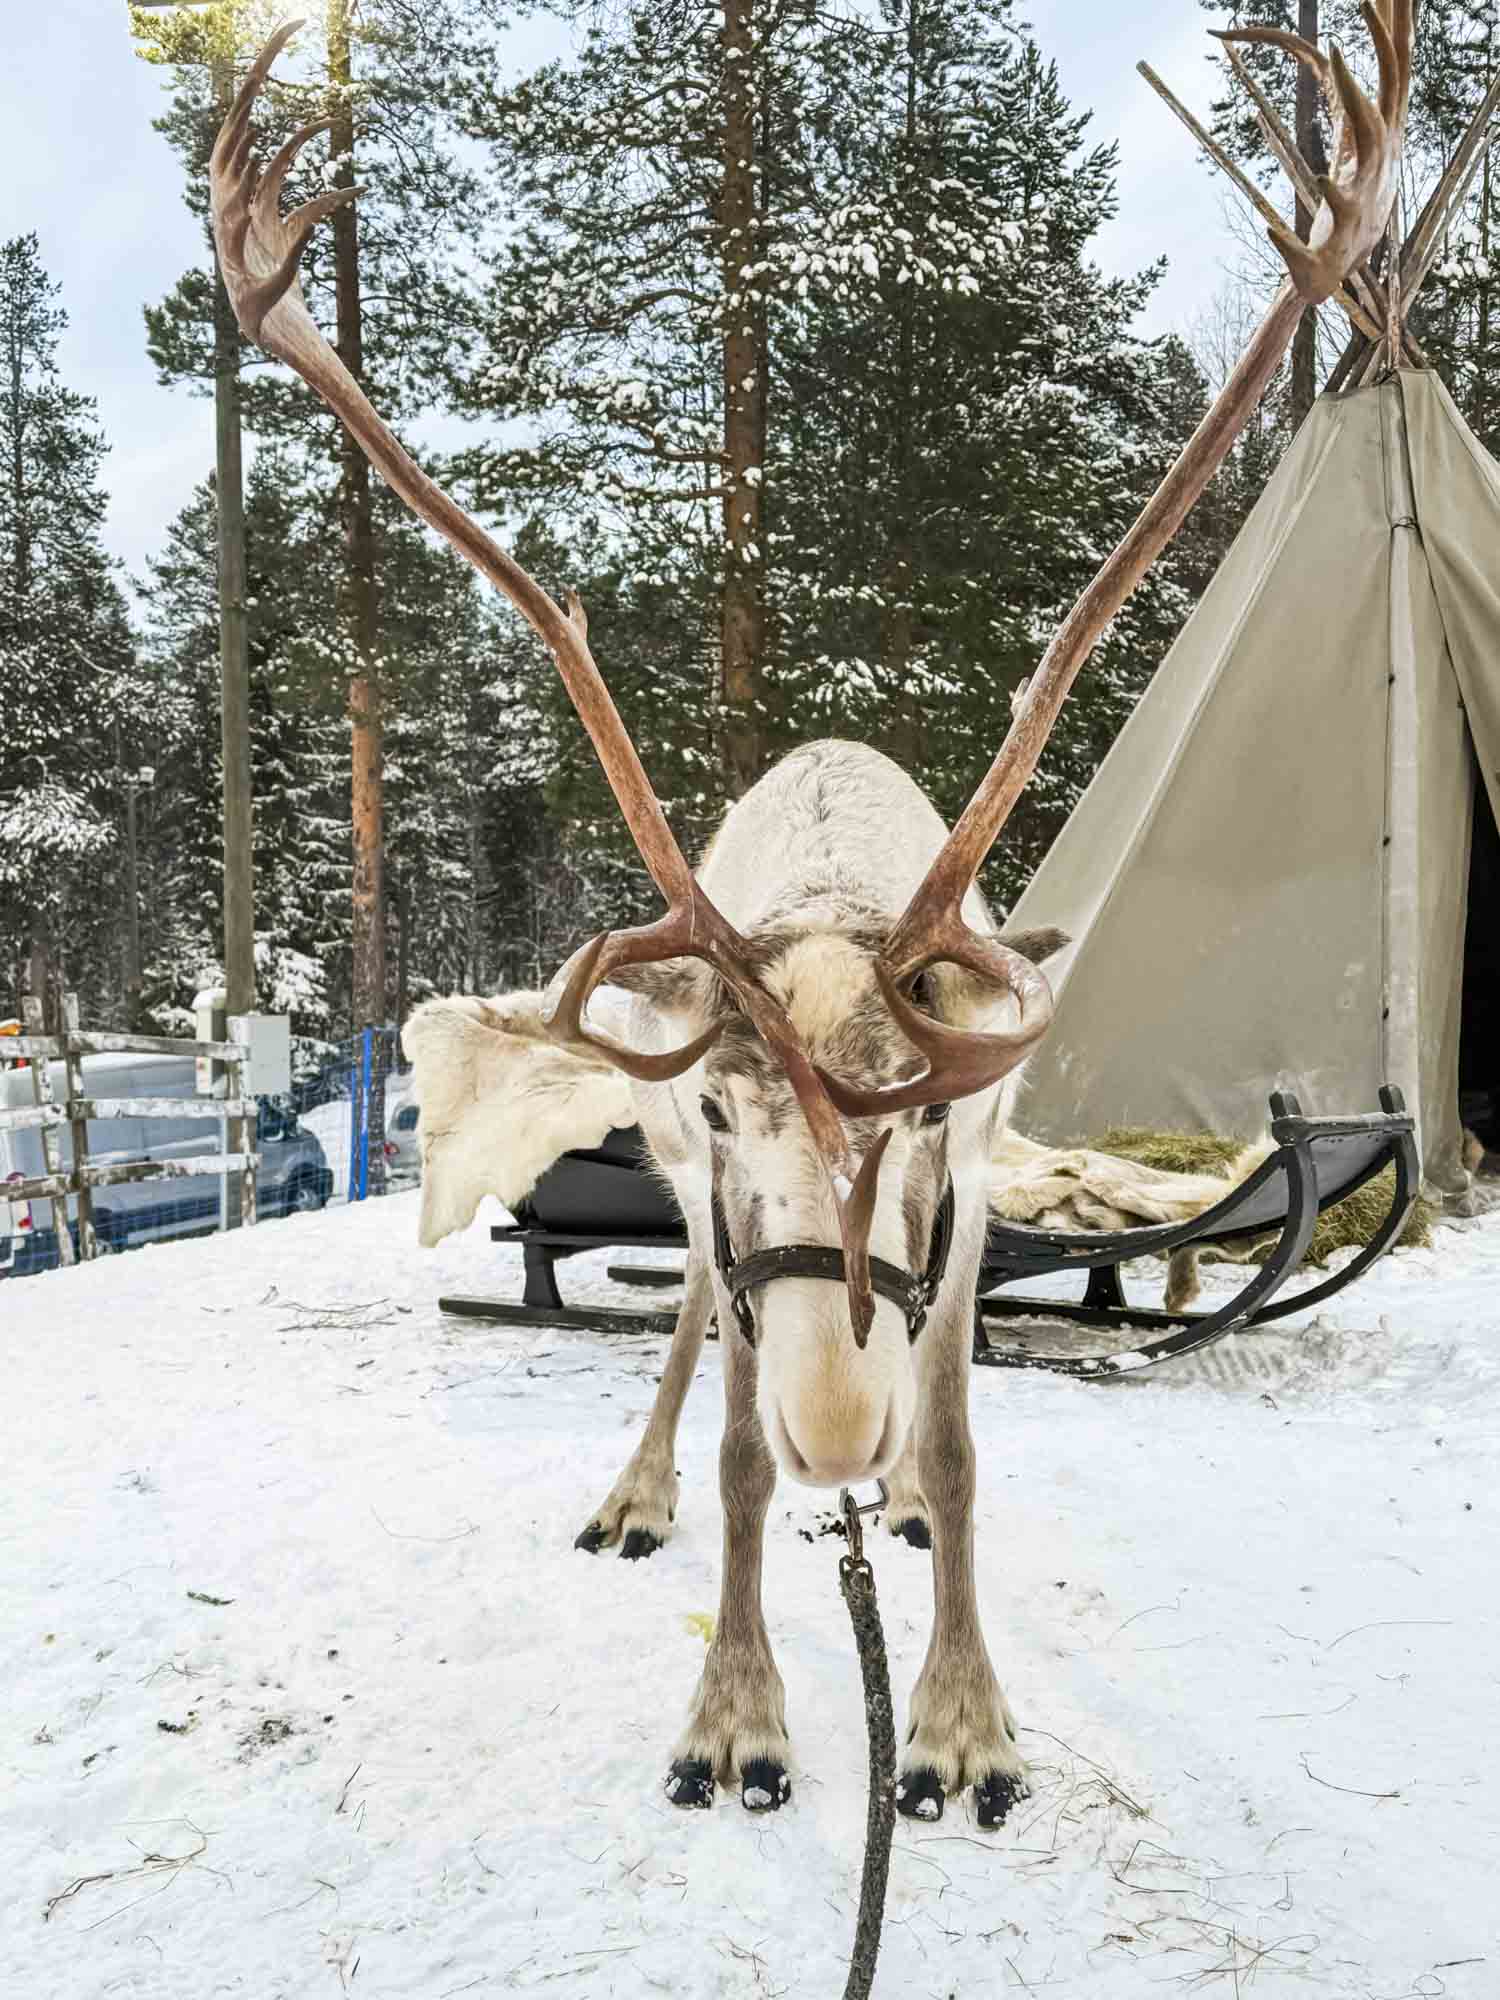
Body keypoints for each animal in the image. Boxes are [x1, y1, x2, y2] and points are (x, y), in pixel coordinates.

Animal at [210, 7, 1410, 1825]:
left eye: (905, 1130)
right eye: (725, 1104)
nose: (842, 1435)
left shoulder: (973, 1181)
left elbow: (968, 1445)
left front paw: (963, 1719)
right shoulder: (706, 1189)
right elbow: (731, 1448)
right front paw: (737, 1711)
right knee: (682, 1340)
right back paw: (647, 1488)